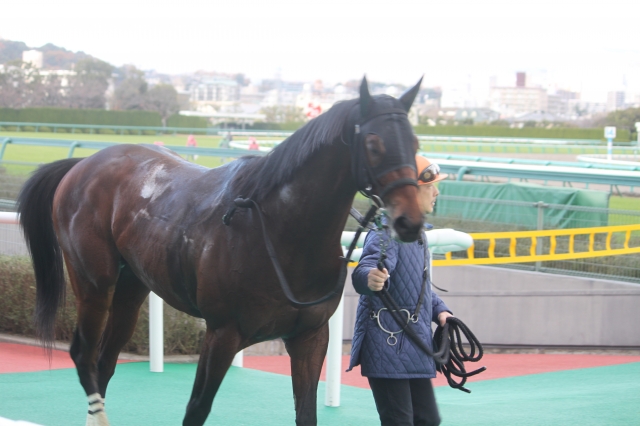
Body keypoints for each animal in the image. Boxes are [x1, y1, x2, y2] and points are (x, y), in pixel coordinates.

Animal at [16, 77, 424, 426]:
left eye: (415, 144)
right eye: (374, 143)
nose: (410, 222)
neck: (281, 234)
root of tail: (83, 163)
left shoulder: (311, 336)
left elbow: (306, 412)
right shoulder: (222, 332)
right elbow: (197, 408)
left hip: (132, 284)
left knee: (104, 360)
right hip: (93, 281)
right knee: (83, 355)